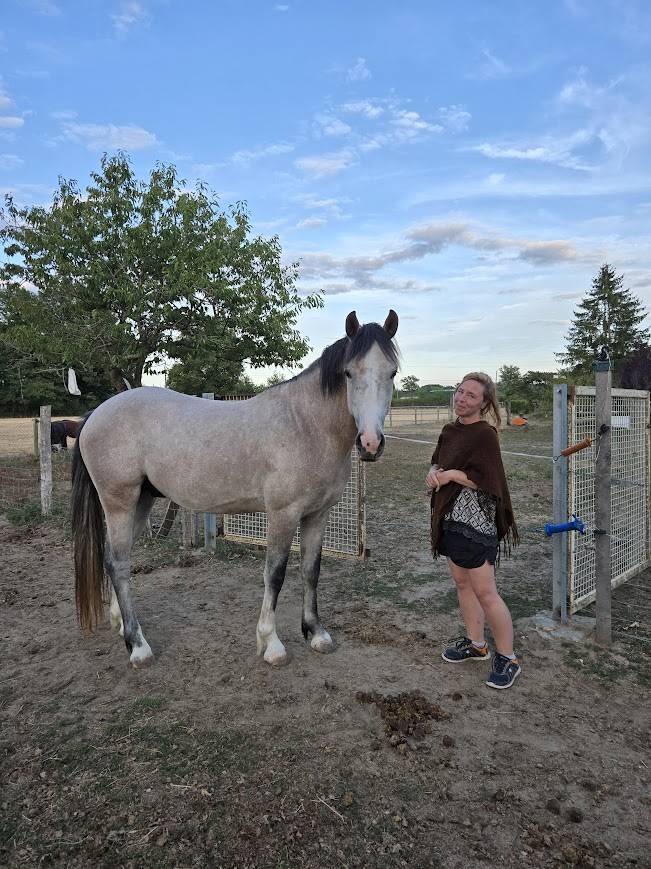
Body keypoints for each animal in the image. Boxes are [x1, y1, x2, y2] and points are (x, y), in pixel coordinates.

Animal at [71, 310, 399, 668]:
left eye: (392, 372)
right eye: (349, 372)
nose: (370, 444)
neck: (305, 424)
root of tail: (95, 414)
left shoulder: (317, 514)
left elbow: (311, 570)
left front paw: (316, 633)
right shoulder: (283, 515)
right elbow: (275, 574)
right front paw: (271, 644)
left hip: (140, 502)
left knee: (119, 560)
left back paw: (121, 626)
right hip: (119, 502)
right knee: (118, 564)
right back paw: (138, 646)